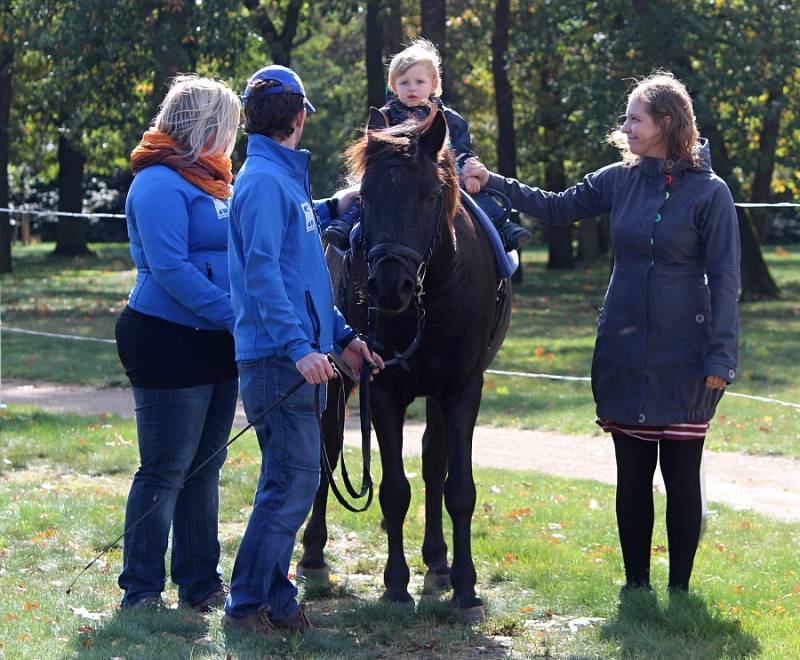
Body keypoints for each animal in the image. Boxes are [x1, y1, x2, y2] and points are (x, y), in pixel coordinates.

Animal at [296, 108, 510, 620]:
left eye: (430, 195)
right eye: (367, 196)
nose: (389, 285)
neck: (431, 297)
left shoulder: (461, 389)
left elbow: (458, 488)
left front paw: (465, 585)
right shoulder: (382, 388)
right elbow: (394, 491)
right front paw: (395, 585)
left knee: (433, 463)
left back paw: (437, 562)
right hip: (337, 381)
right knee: (328, 447)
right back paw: (313, 552)